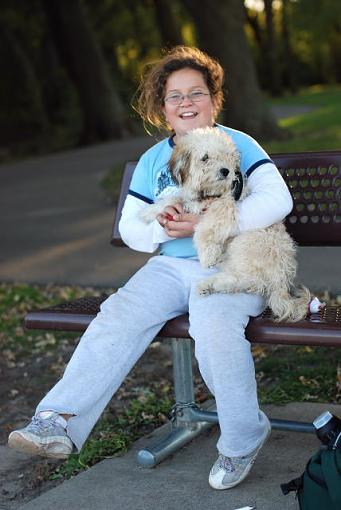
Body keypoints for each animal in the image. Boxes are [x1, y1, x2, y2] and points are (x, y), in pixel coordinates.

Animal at [139, 125, 310, 320]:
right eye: (205, 157)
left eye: (227, 156)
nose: (226, 171)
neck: (207, 194)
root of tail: (282, 280)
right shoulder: (190, 200)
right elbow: (174, 198)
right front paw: (147, 212)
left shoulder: (224, 208)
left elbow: (204, 230)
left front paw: (207, 255)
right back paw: (212, 282)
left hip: (248, 243)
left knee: (251, 280)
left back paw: (210, 282)